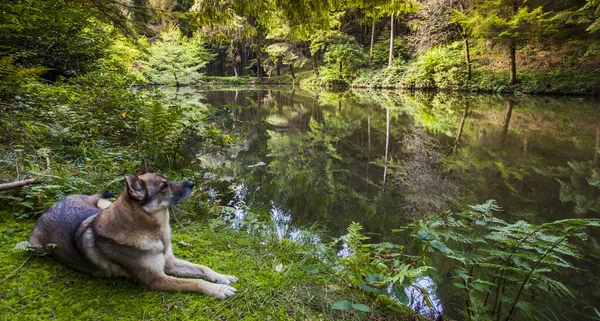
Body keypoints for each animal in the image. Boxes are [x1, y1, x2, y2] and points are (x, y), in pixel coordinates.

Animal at [28, 161, 238, 298]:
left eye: (167, 179)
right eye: (163, 186)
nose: (192, 183)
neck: (155, 231)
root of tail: (54, 205)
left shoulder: (169, 262)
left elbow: (203, 268)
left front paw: (221, 277)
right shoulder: (156, 279)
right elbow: (195, 282)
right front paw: (217, 290)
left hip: (103, 205)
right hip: (37, 247)